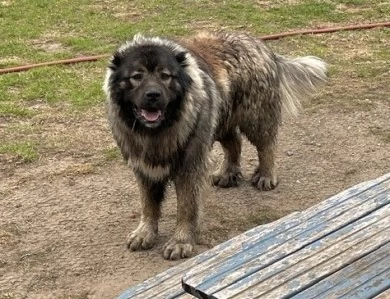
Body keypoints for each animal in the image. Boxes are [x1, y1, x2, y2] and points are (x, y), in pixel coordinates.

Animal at [102, 29, 328, 260]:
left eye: (165, 76)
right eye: (136, 77)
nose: (153, 95)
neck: (157, 131)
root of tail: (259, 43)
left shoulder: (190, 166)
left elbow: (186, 208)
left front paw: (181, 241)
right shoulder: (144, 168)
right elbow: (148, 206)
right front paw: (145, 232)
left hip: (255, 117)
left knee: (267, 146)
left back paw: (266, 175)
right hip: (220, 119)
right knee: (234, 143)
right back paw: (228, 172)